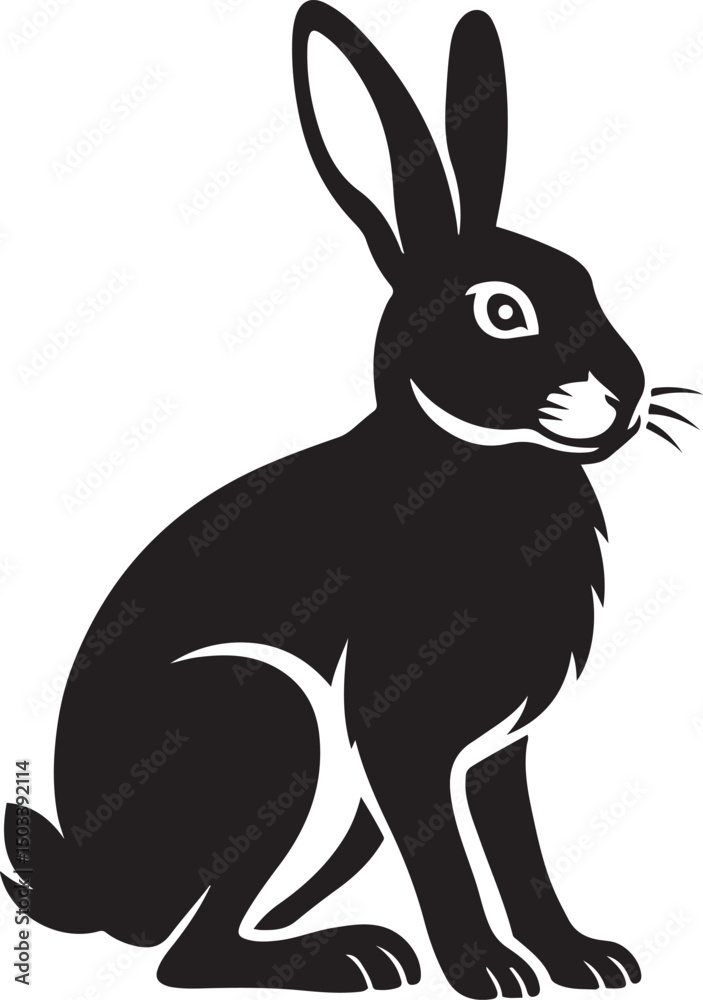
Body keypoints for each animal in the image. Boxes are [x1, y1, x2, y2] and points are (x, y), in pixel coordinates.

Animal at [4, 2, 697, 996]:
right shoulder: (399, 735)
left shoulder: (497, 752)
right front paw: (488, 973)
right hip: (267, 724)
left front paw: (582, 961)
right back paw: (354, 956)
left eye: (587, 280)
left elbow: (518, 852)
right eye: (503, 312)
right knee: (185, 955)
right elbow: (446, 860)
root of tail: (99, 888)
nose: (627, 391)